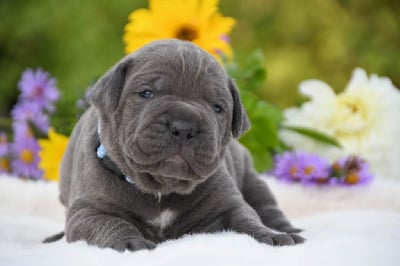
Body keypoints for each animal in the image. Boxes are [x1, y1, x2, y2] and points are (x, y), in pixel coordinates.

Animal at [58, 39, 304, 251]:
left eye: (217, 108)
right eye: (147, 93)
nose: (184, 127)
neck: (161, 190)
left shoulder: (228, 205)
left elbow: (247, 220)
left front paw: (270, 235)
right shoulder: (88, 211)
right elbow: (110, 223)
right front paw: (128, 242)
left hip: (253, 180)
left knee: (268, 207)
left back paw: (288, 230)